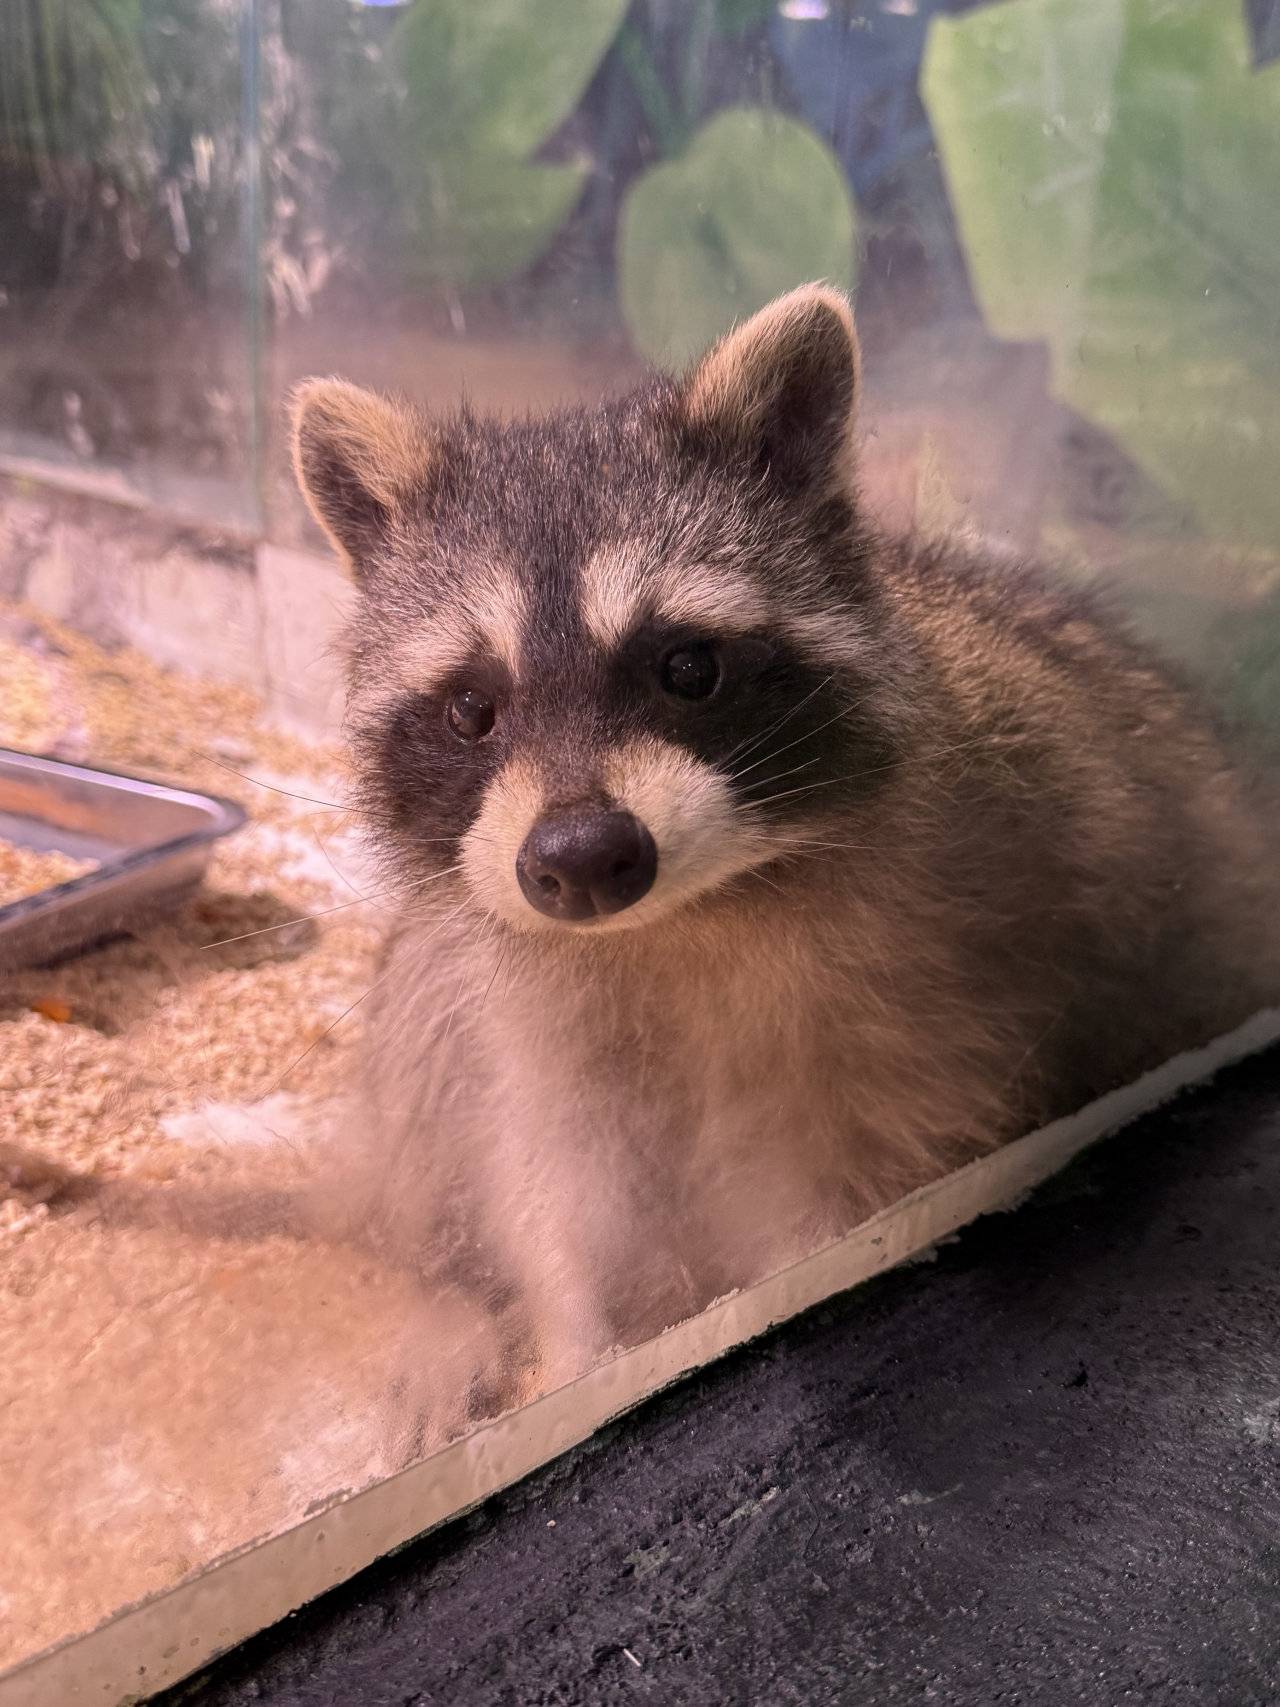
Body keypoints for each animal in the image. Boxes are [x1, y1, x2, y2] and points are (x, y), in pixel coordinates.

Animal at [291, 285, 1279, 1391]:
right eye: (471, 710)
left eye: (688, 669)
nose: (582, 860)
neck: (673, 922)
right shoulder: (536, 1021)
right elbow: (560, 1200)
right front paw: (573, 1351)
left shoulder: (922, 1021)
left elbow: (830, 1217)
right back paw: (441, 1306)